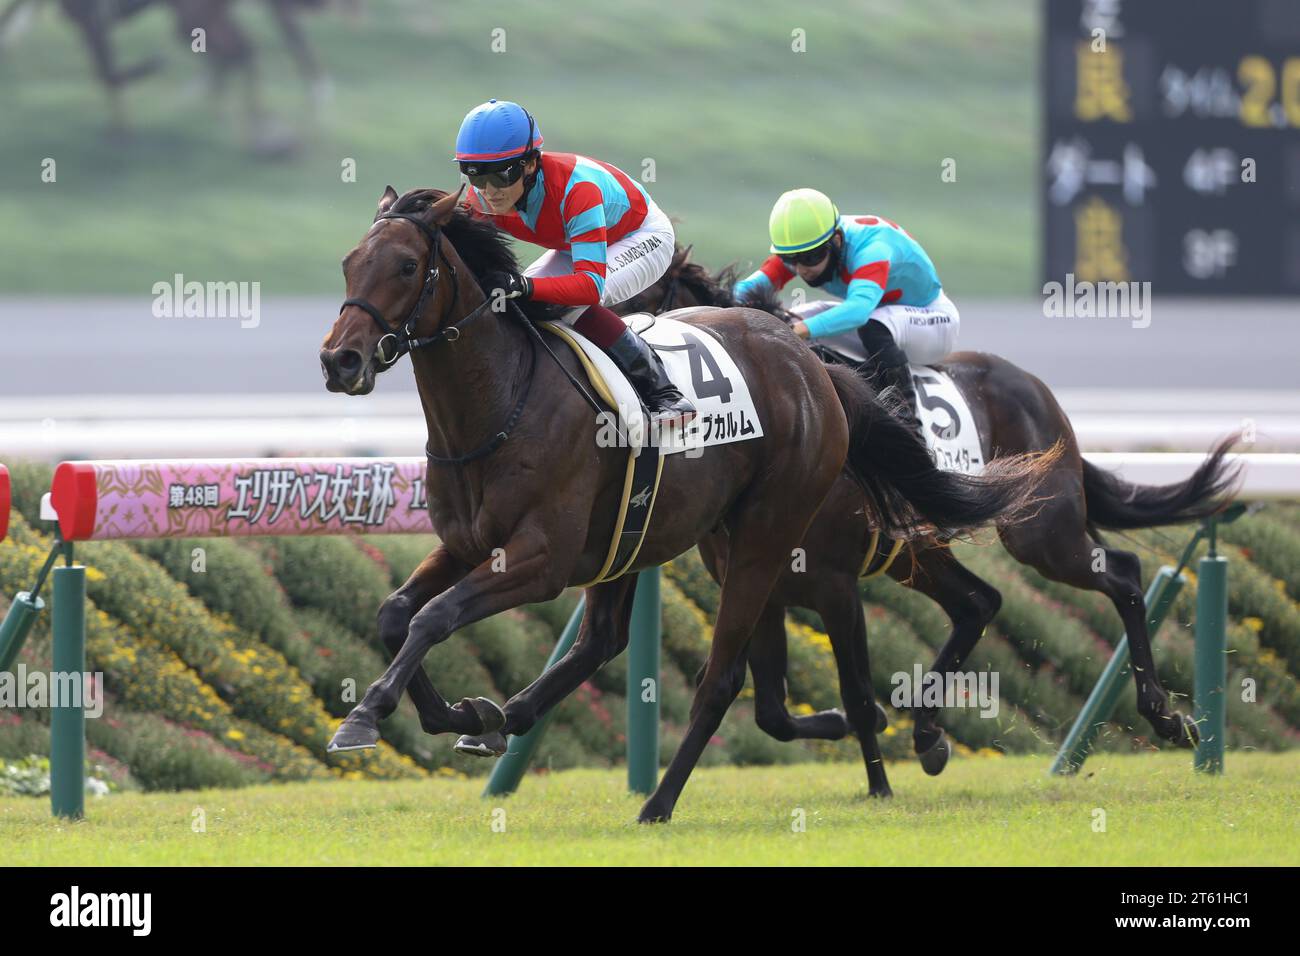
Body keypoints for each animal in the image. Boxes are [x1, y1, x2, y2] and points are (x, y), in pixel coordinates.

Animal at [319, 187, 1050, 822]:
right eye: (350, 262)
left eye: (407, 266)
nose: (340, 360)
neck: (499, 403)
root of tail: (812, 368)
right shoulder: (466, 544)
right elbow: (396, 614)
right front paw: (463, 715)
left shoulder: (540, 561)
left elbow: (435, 617)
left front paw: (369, 713)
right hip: (650, 540)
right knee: (607, 640)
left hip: (762, 540)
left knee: (720, 680)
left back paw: (659, 803)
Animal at [616, 248, 1237, 785]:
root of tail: (1042, 395)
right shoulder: (760, 581)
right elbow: (770, 708)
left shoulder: (834, 583)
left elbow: (855, 696)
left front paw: (878, 785)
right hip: (919, 552)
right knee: (979, 603)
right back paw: (927, 732)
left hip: (1040, 531)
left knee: (1123, 575)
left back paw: (1165, 716)